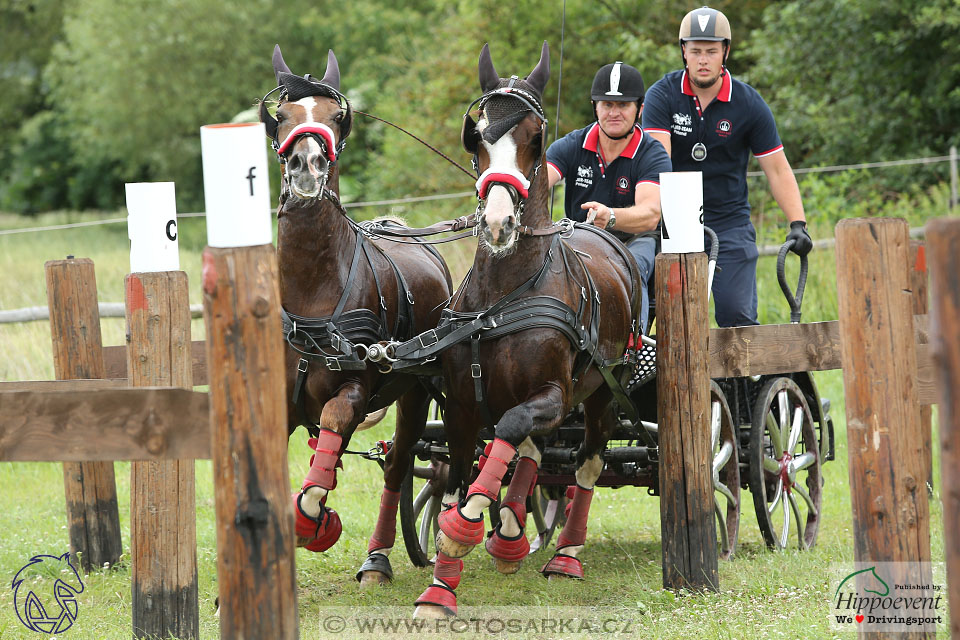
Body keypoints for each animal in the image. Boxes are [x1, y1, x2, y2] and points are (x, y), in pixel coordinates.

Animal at [258, 45, 454, 584]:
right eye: (283, 116)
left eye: (335, 117)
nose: (306, 164)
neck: (312, 288)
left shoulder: (356, 387)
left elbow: (331, 428)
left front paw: (311, 520)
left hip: (419, 391)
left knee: (404, 464)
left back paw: (378, 558)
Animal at [414, 43, 644, 616]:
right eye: (476, 136)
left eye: (535, 137)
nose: (498, 224)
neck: (504, 296)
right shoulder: (461, 404)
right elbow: (458, 476)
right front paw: (441, 584)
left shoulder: (553, 395)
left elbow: (510, 436)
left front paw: (464, 532)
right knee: (536, 455)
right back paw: (513, 535)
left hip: (604, 393)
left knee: (586, 464)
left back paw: (566, 555)